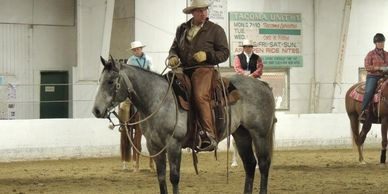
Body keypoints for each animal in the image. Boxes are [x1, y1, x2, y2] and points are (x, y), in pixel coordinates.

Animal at [93, 56, 276, 193]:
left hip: (260, 134)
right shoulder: (154, 146)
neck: (158, 100)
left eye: (110, 81)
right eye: (100, 80)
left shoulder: (174, 144)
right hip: (241, 133)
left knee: (264, 164)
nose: (96, 110)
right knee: (250, 165)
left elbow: (174, 177)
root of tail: (263, 85)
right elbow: (161, 177)